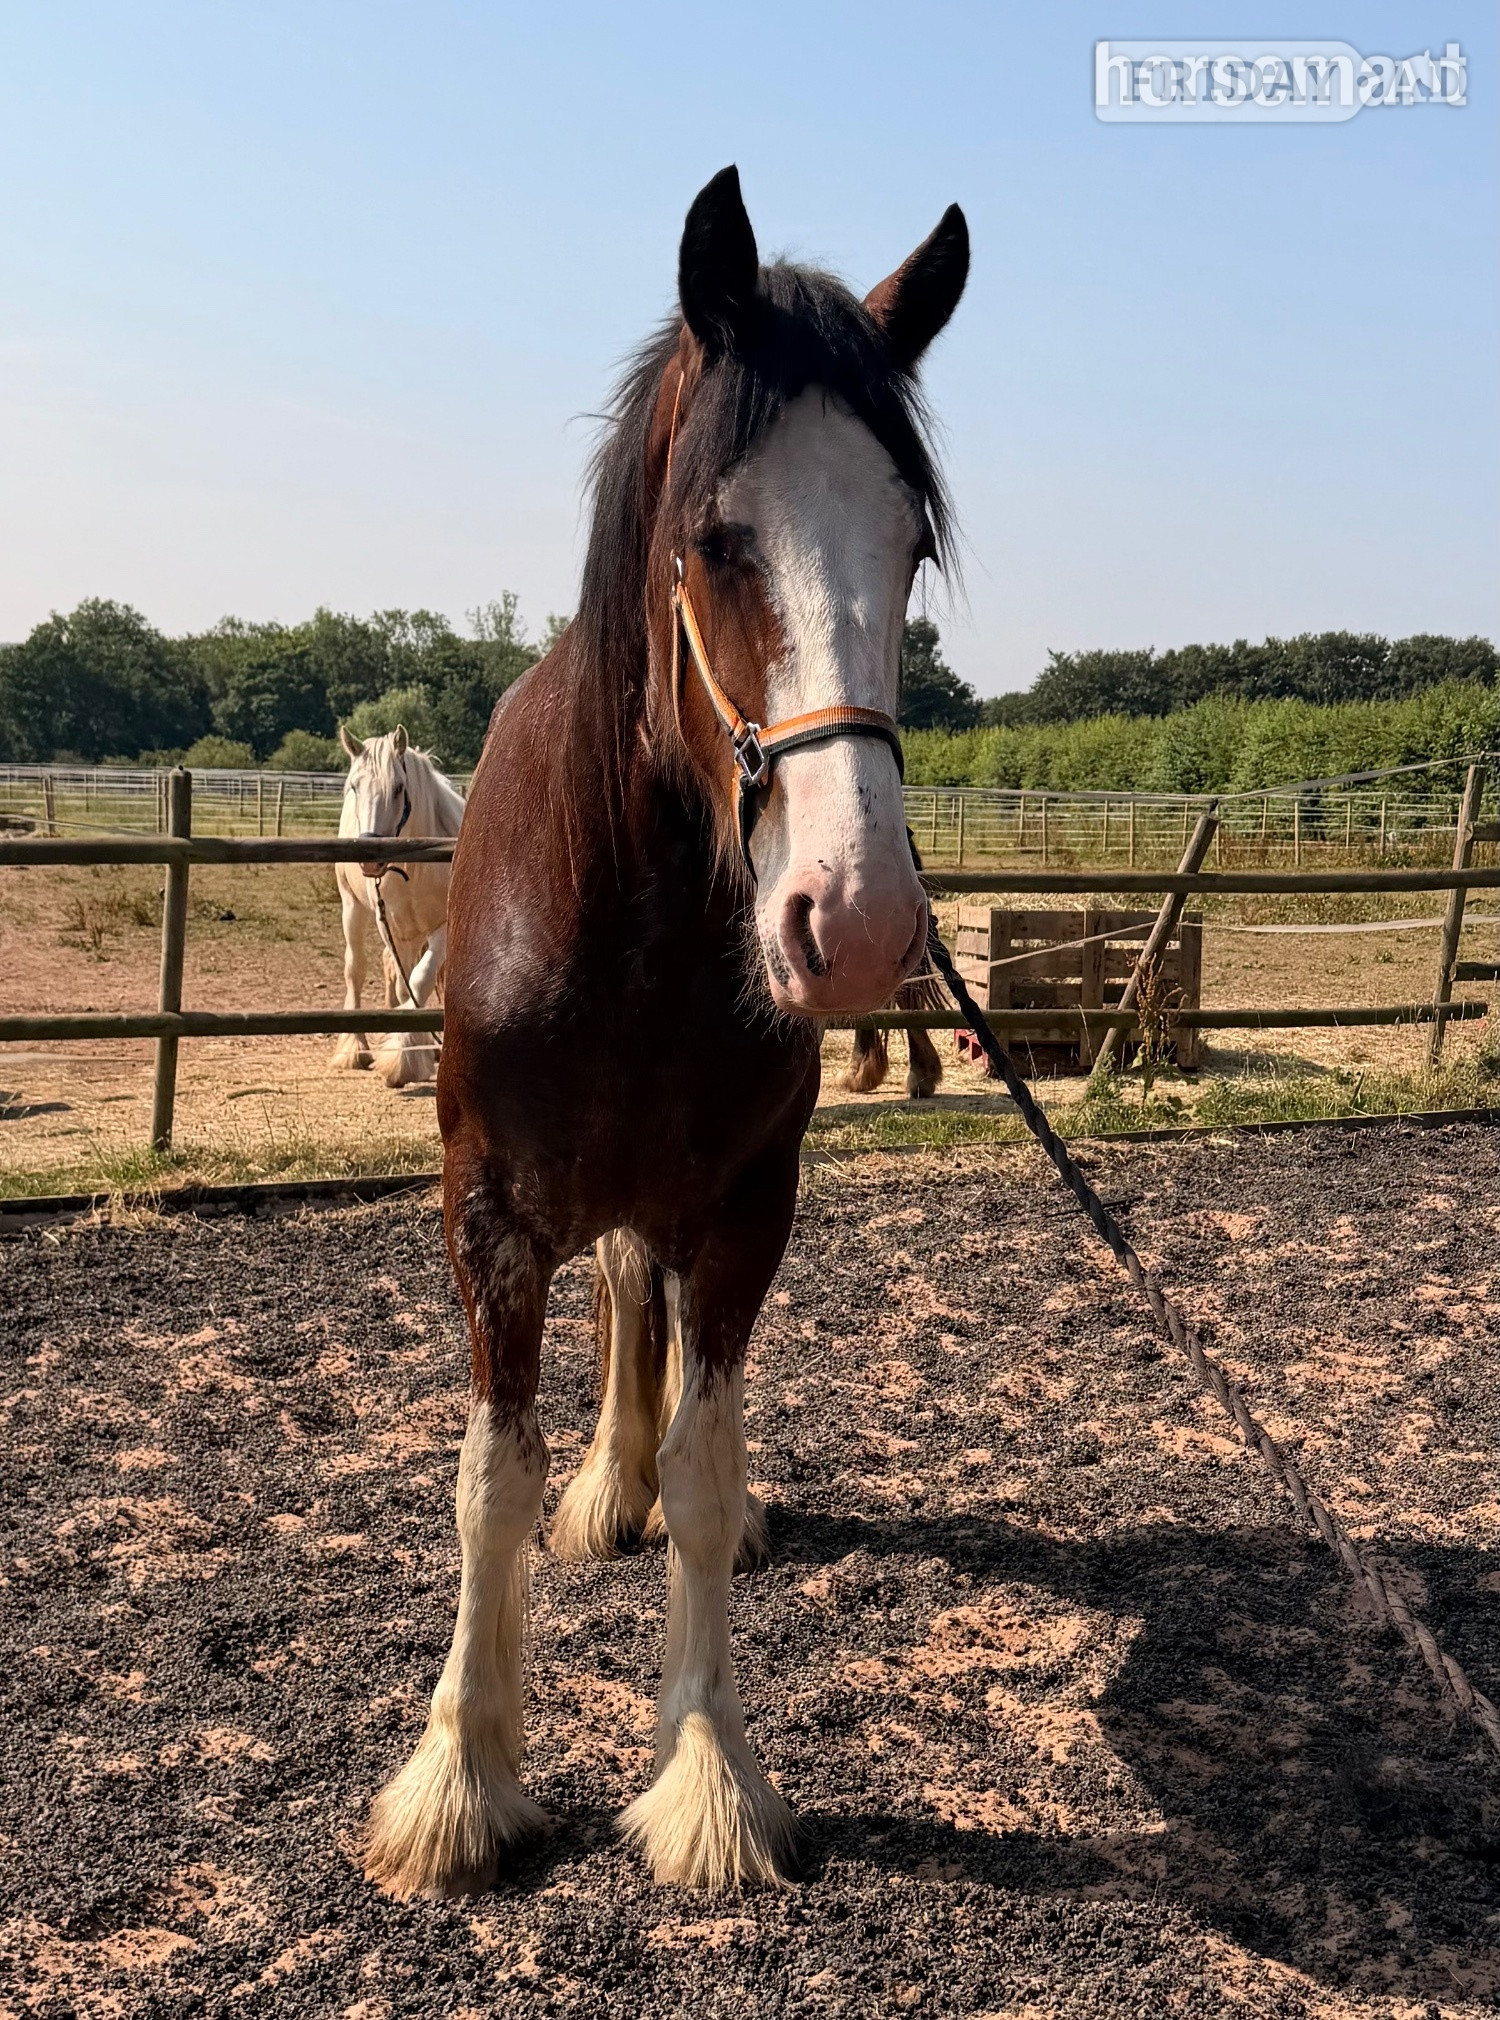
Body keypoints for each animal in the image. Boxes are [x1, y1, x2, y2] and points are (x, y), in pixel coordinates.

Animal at [331, 726, 465, 1088]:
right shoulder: (392, 924)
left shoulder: (442, 926)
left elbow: (420, 978)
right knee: (357, 968)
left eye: (399, 788)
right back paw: (356, 1048)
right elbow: (406, 980)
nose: (369, 858)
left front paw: (405, 1054)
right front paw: (403, 1053)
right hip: (353, 908)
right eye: (354, 786)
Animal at [363, 165, 967, 1899]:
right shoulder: (488, 1219)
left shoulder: (746, 1212)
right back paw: (598, 1489)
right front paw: (461, 1779)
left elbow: (702, 1472)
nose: (861, 922)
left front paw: (706, 1775)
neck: (622, 909)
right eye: (714, 539)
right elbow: (485, 1487)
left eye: (911, 543)